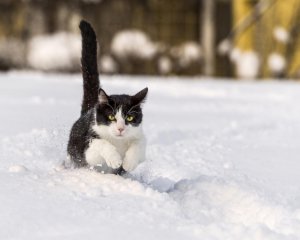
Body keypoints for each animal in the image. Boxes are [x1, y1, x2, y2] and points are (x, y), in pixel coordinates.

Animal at [67, 20, 148, 174]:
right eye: (111, 117)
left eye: (130, 118)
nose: (120, 129)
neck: (118, 141)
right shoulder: (88, 148)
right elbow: (101, 144)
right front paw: (115, 160)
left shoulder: (140, 136)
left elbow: (138, 145)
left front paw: (128, 163)